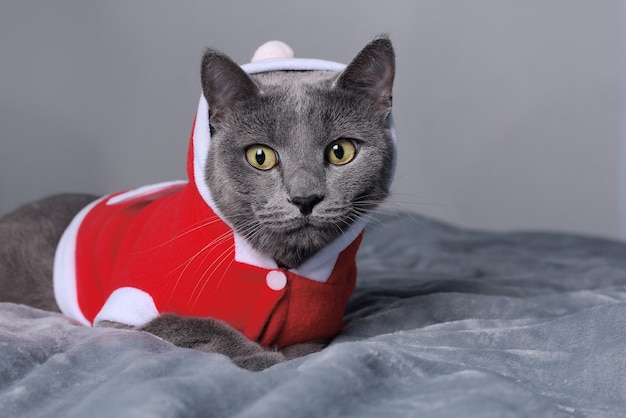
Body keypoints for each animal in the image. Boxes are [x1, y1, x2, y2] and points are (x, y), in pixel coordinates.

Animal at [0, 36, 394, 370]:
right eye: (261, 157)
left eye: (340, 151)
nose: (305, 198)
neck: (279, 266)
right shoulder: (123, 312)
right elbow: (190, 325)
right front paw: (264, 358)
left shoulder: (321, 328)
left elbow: (310, 346)